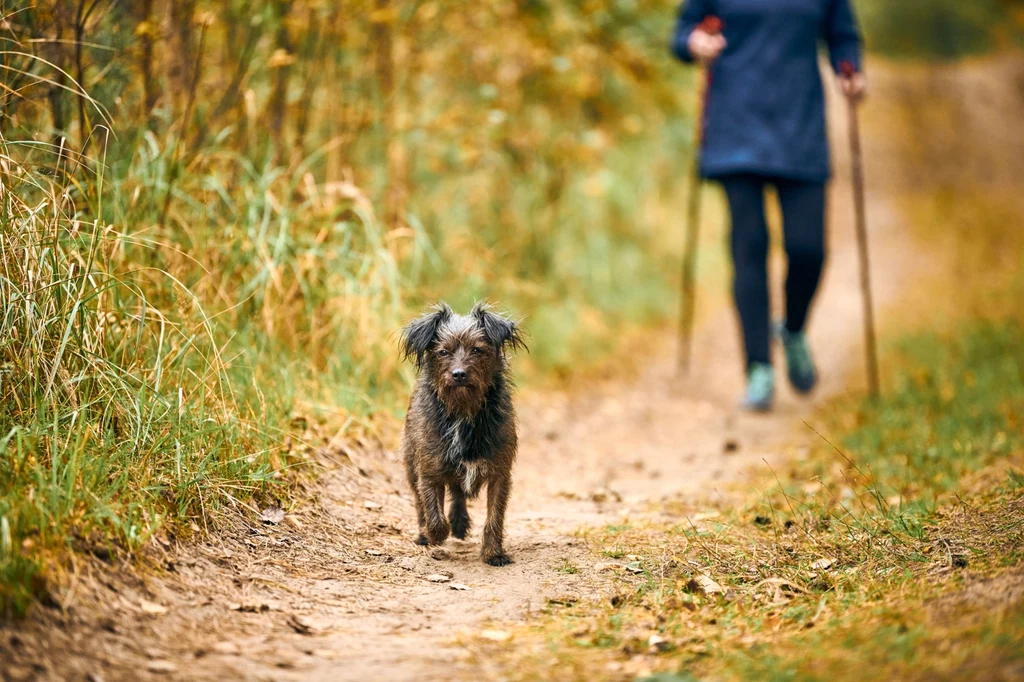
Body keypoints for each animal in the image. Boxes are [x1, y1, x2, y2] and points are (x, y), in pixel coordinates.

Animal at [399, 301, 528, 561]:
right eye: (443, 352)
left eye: (477, 350)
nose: (458, 374)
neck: (463, 411)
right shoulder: (428, 472)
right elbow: (434, 514)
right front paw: (434, 535)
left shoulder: (500, 474)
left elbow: (494, 517)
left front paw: (493, 553)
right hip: (410, 464)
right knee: (420, 503)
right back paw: (425, 533)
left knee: (458, 492)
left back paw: (459, 524)